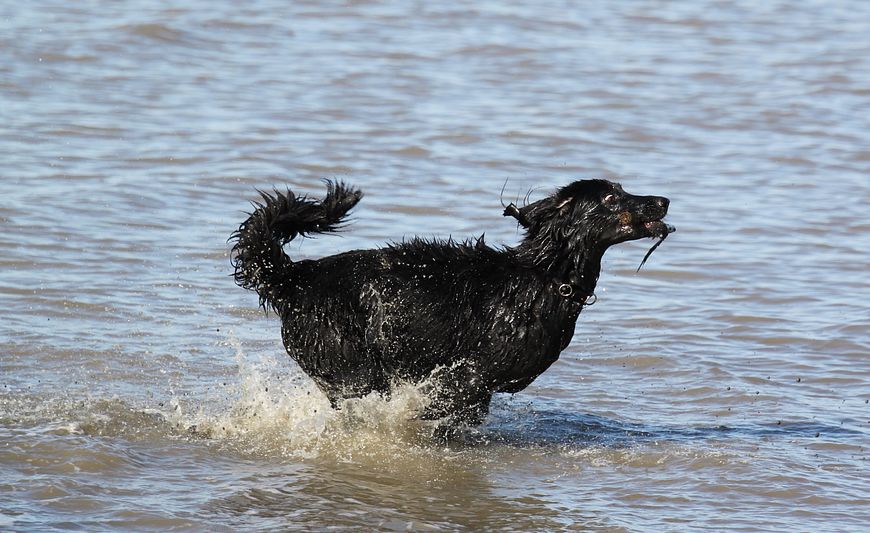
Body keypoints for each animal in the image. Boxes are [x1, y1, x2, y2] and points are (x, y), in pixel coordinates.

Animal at [231, 179, 673, 427]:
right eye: (612, 199)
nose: (664, 201)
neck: (545, 276)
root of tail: (296, 277)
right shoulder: (470, 376)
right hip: (354, 370)